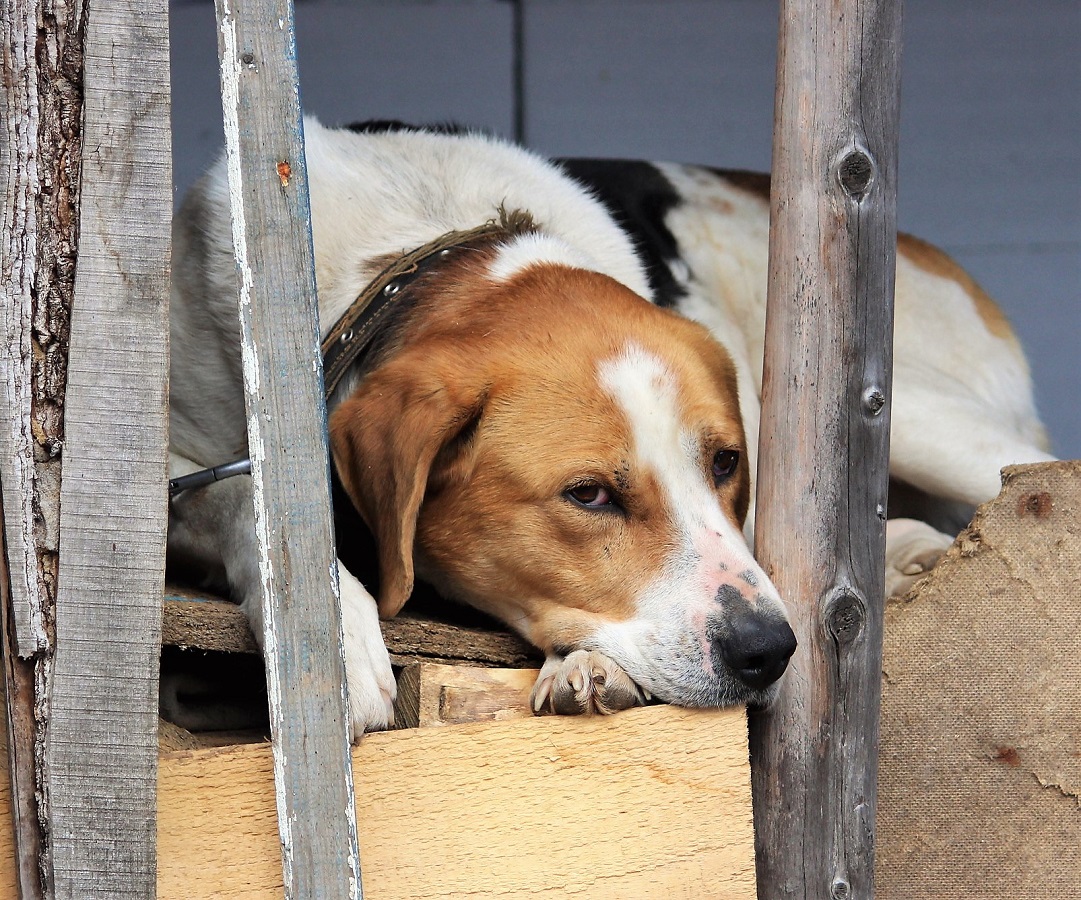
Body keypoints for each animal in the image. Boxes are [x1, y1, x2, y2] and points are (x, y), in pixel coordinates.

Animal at [164, 119, 1050, 739]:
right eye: (588, 495)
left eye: (724, 462)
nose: (768, 651)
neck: (423, 240)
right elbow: (241, 496)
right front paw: (326, 638)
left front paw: (589, 663)